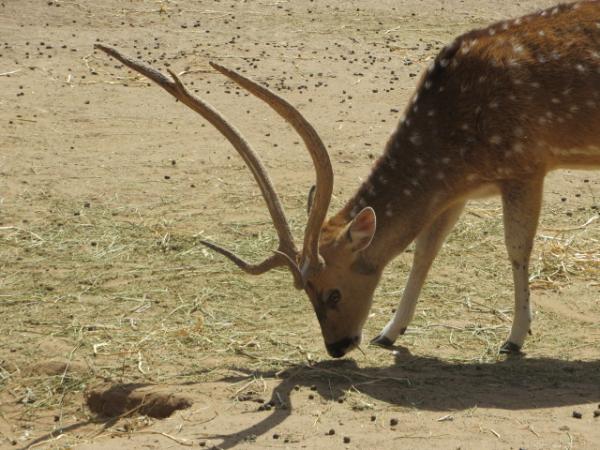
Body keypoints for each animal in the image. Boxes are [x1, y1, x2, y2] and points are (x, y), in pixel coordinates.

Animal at [96, 0, 600, 358]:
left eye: (332, 292)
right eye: (307, 295)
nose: (337, 348)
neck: (453, 135)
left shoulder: (526, 165)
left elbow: (516, 249)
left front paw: (514, 339)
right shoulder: (458, 189)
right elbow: (424, 252)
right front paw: (389, 332)